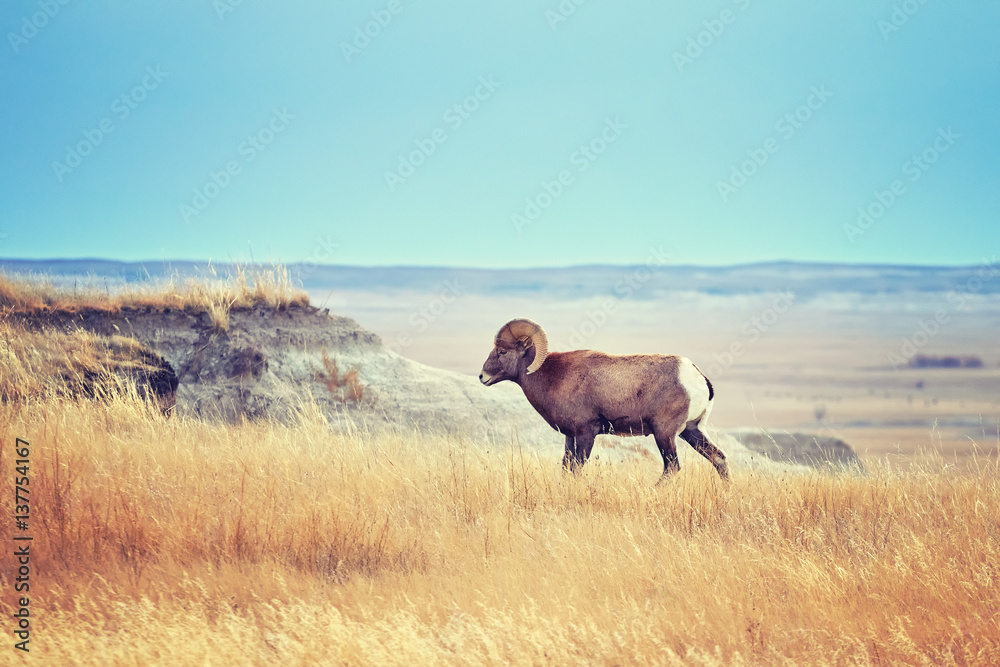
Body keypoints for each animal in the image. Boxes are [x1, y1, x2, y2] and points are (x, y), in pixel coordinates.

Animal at [479, 318, 728, 481]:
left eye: (502, 352)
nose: (482, 377)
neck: (553, 376)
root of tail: (698, 377)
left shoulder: (586, 433)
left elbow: (577, 468)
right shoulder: (570, 436)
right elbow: (566, 468)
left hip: (665, 434)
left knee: (672, 468)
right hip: (691, 430)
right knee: (719, 459)